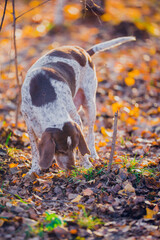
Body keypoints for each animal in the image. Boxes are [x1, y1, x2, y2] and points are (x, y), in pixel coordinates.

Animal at [21, 36, 136, 174]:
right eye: (60, 150)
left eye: (74, 147)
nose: (72, 167)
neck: (45, 98)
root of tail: (84, 51)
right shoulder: (29, 123)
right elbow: (34, 149)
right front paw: (34, 168)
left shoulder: (76, 120)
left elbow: (82, 146)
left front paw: (86, 164)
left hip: (89, 104)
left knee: (90, 133)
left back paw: (93, 154)